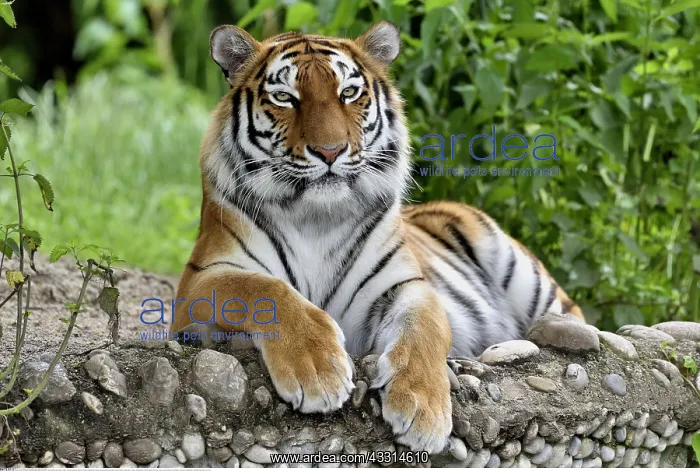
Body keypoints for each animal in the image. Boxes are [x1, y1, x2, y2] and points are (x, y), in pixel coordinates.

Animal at [171, 21, 584, 453]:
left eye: (349, 93)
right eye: (285, 97)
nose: (330, 151)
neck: (315, 218)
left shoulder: (406, 284)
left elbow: (425, 330)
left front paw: (422, 408)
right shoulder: (199, 281)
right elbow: (262, 289)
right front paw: (317, 370)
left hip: (529, 280)